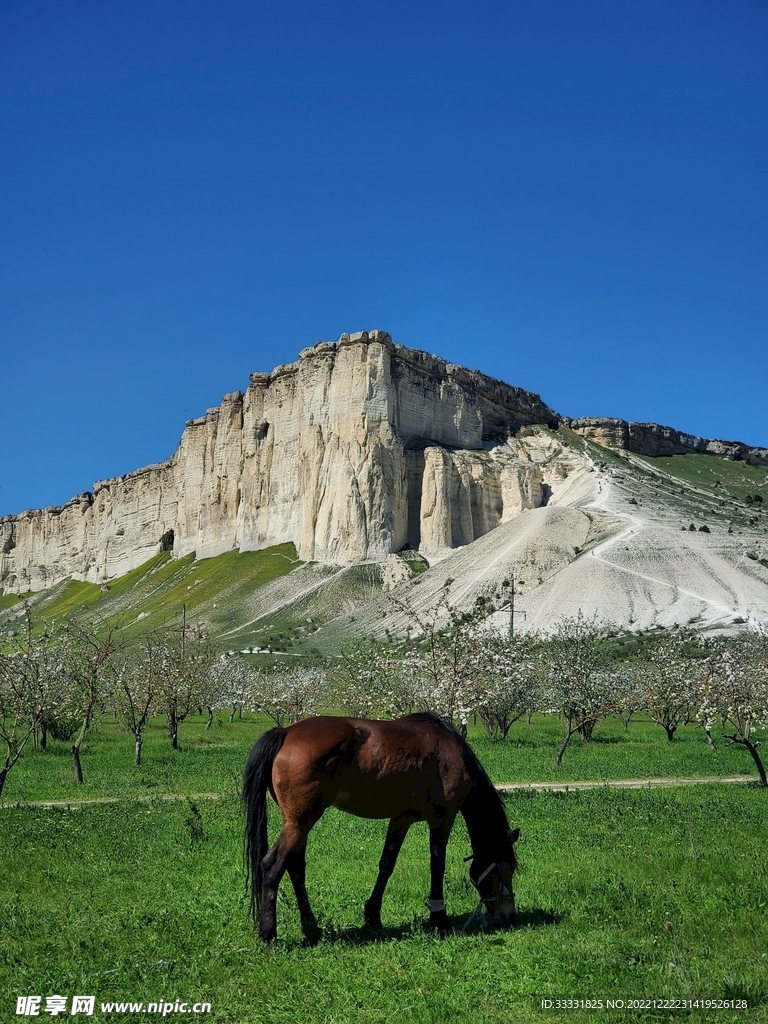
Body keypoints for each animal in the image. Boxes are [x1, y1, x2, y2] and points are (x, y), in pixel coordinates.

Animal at [243, 711, 520, 943]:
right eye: (505, 870)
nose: (508, 917)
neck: (451, 750)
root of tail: (285, 732)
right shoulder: (442, 818)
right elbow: (437, 865)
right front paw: (439, 918)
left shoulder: (401, 819)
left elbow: (387, 864)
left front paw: (373, 916)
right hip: (300, 823)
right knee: (272, 866)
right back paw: (269, 934)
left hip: (299, 824)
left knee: (296, 867)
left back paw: (311, 928)